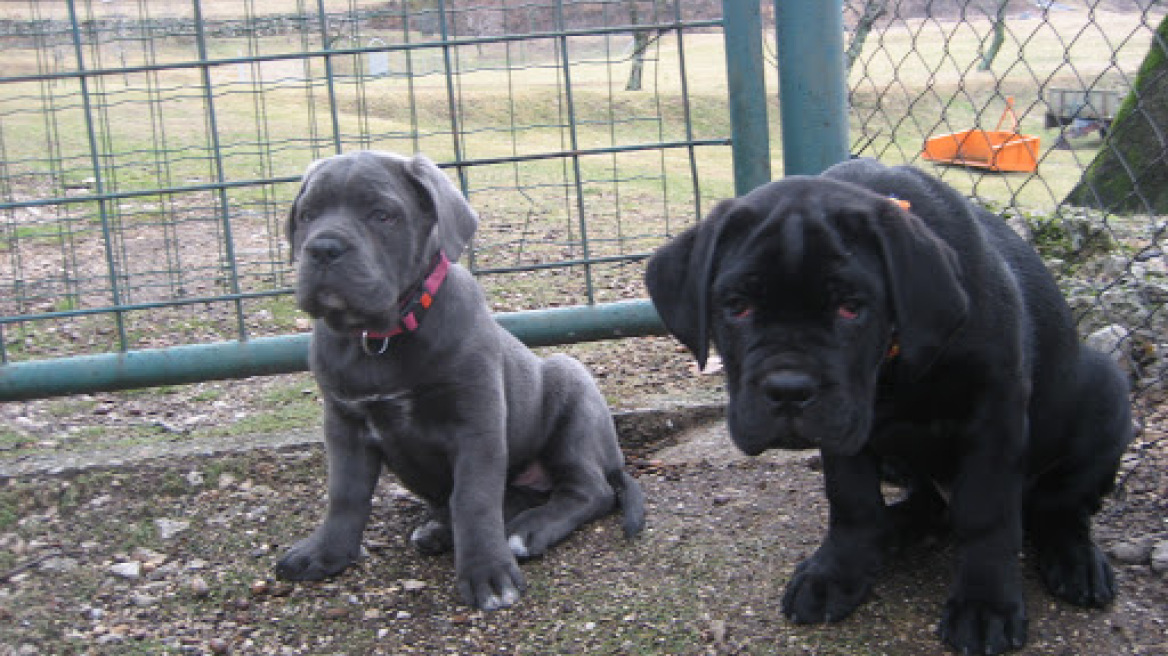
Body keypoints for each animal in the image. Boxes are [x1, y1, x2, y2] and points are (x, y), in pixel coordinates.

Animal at [280, 148, 649, 606]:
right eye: (307, 215)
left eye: (382, 215)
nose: (324, 247)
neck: (380, 337)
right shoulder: (344, 423)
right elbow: (345, 494)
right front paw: (325, 553)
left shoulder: (477, 423)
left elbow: (473, 497)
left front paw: (487, 574)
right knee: (511, 496)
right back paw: (440, 529)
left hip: (572, 392)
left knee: (588, 490)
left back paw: (527, 532)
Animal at [649, 159, 1130, 653]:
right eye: (737, 306)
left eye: (851, 308)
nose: (788, 389)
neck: (892, 363)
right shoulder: (845, 430)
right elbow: (852, 500)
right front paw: (836, 574)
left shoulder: (995, 415)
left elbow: (987, 515)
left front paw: (986, 605)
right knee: (929, 503)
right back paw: (894, 528)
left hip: (1105, 392)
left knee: (1060, 507)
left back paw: (1077, 562)